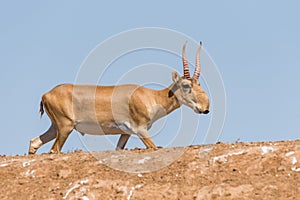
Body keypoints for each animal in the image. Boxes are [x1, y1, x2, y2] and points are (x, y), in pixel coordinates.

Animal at [29, 41, 210, 154]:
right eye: (186, 85)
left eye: (199, 84)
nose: (205, 108)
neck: (150, 96)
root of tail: (46, 94)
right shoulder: (141, 130)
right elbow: (153, 147)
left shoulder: (126, 133)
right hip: (65, 127)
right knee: (53, 150)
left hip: (55, 128)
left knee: (34, 142)